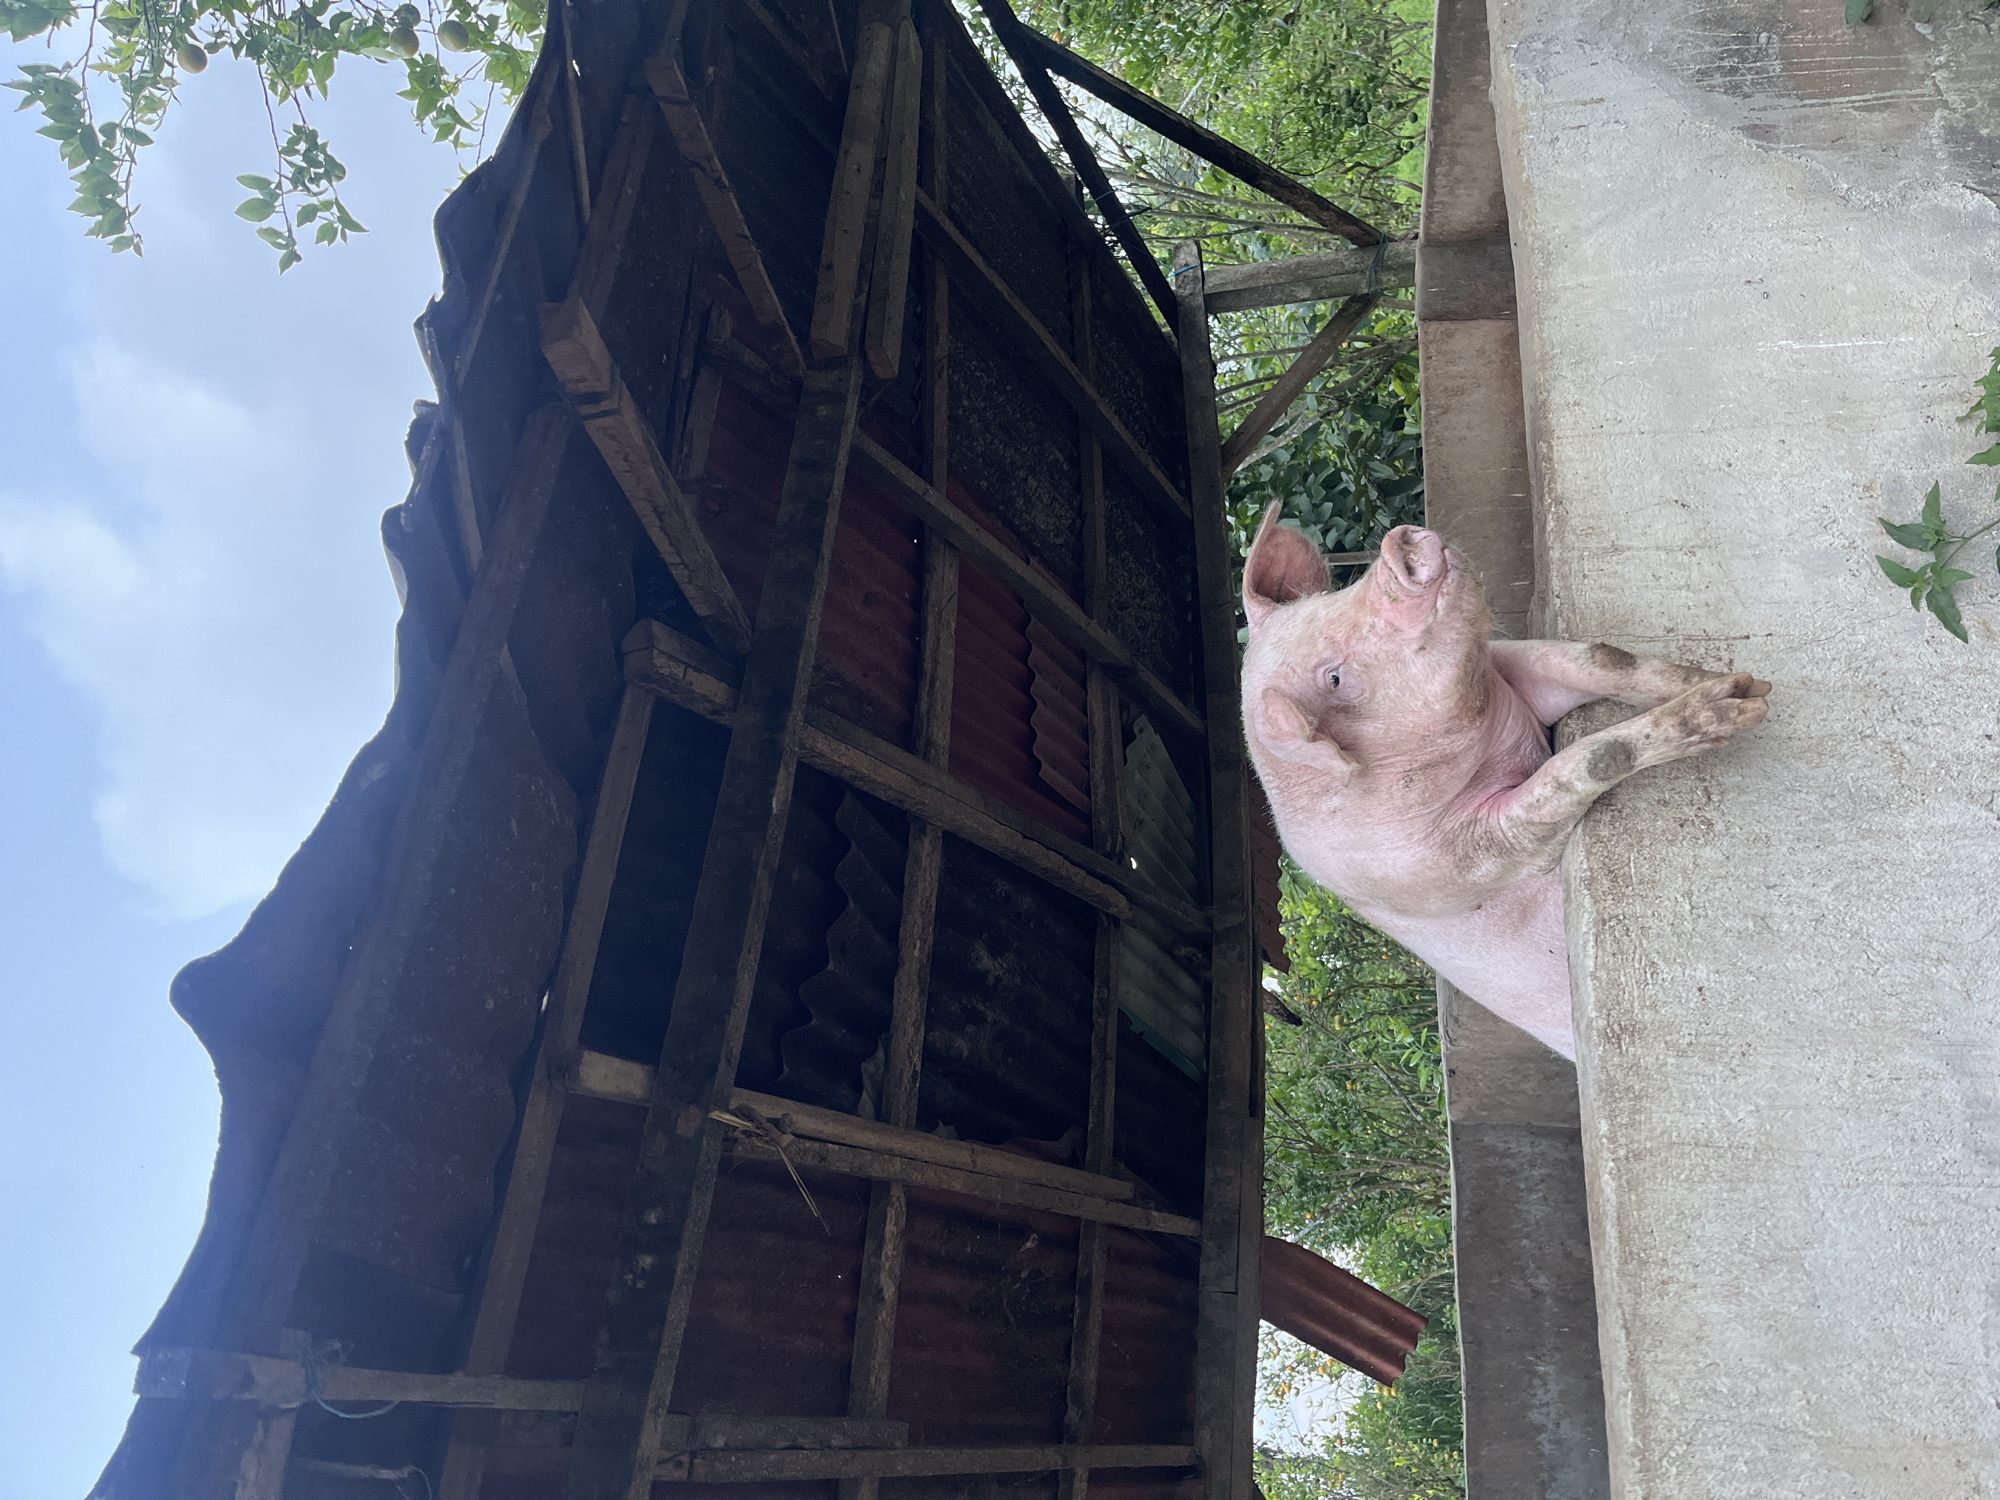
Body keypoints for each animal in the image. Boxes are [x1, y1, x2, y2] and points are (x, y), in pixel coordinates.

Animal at [1240, 509, 1770, 1059]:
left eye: (1328, 601)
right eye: (1335, 679)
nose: (1395, 542)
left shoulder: (1514, 668)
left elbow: (1599, 657)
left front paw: (1747, 685)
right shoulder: (1459, 864)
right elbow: (1589, 762)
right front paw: (1736, 711)